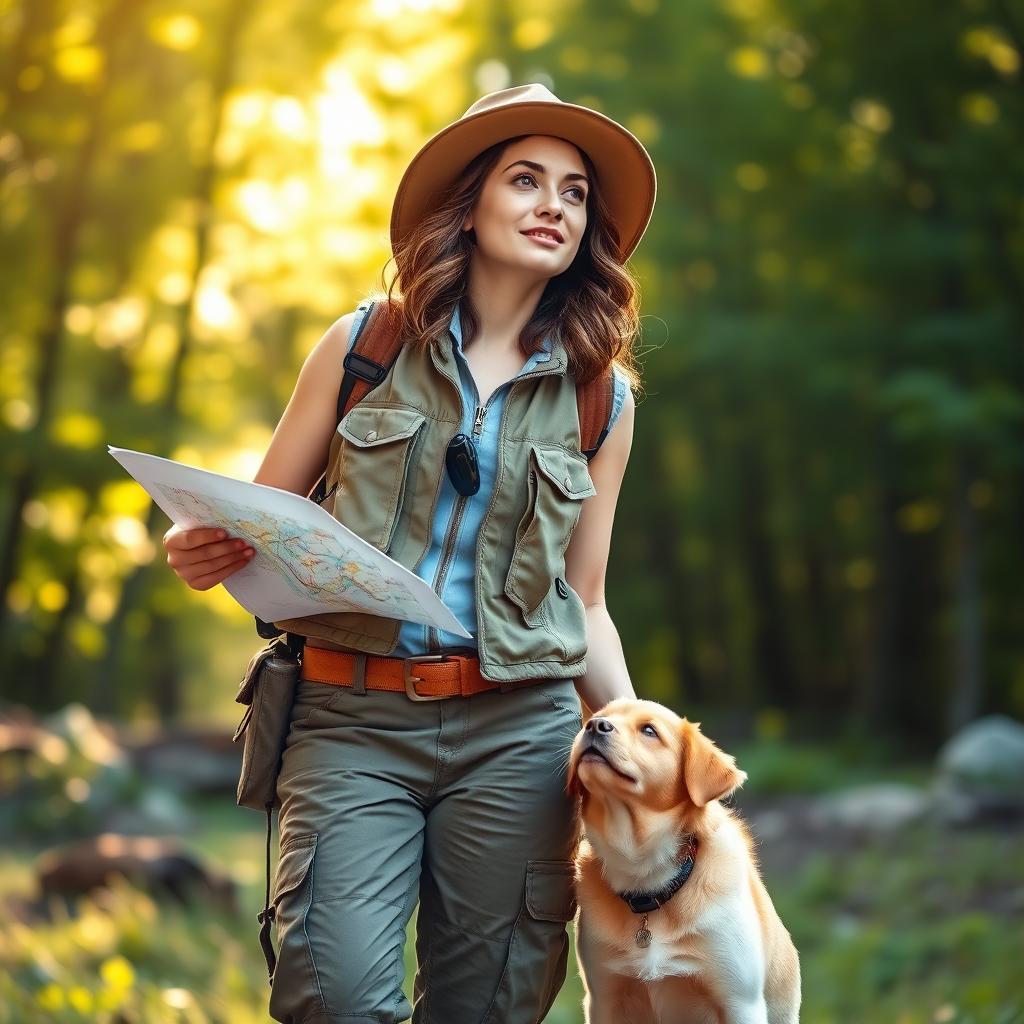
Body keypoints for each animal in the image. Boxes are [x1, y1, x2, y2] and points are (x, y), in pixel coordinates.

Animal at [569, 700, 798, 1024]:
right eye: (600, 716)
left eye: (649, 730)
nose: (594, 726)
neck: (648, 878)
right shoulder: (605, 999)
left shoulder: (741, 1002)